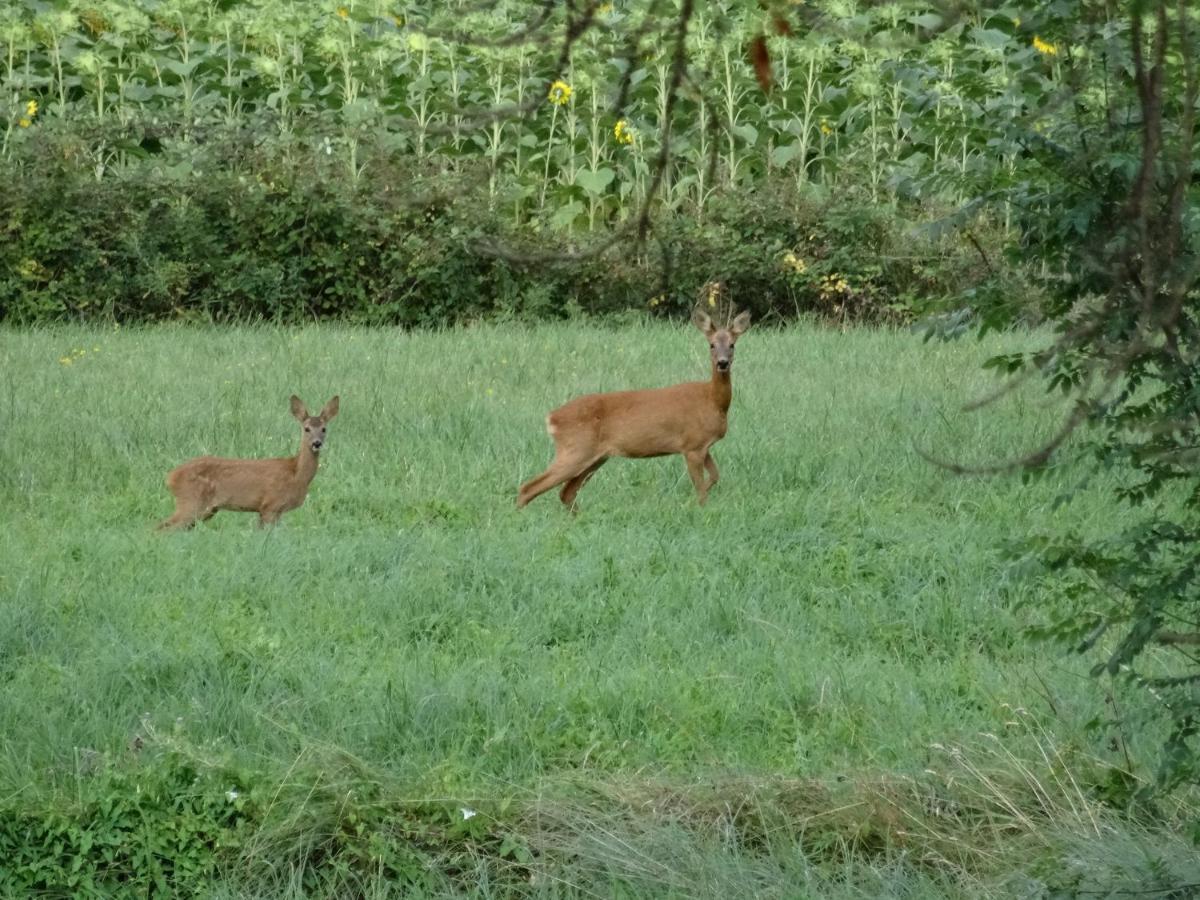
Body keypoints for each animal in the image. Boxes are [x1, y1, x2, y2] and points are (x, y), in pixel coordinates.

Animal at [157, 393, 340, 528]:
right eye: (306, 429)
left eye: (324, 429)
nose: (316, 443)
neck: (296, 474)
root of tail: (170, 477)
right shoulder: (270, 505)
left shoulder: (274, 511)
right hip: (190, 502)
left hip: (205, 510)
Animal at [516, 309, 748, 508]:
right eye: (711, 345)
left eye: (732, 344)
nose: (722, 363)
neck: (713, 401)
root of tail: (552, 417)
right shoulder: (692, 445)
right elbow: (701, 489)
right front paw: (696, 506)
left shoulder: (702, 446)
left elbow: (715, 476)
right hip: (575, 449)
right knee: (529, 487)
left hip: (595, 456)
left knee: (566, 492)